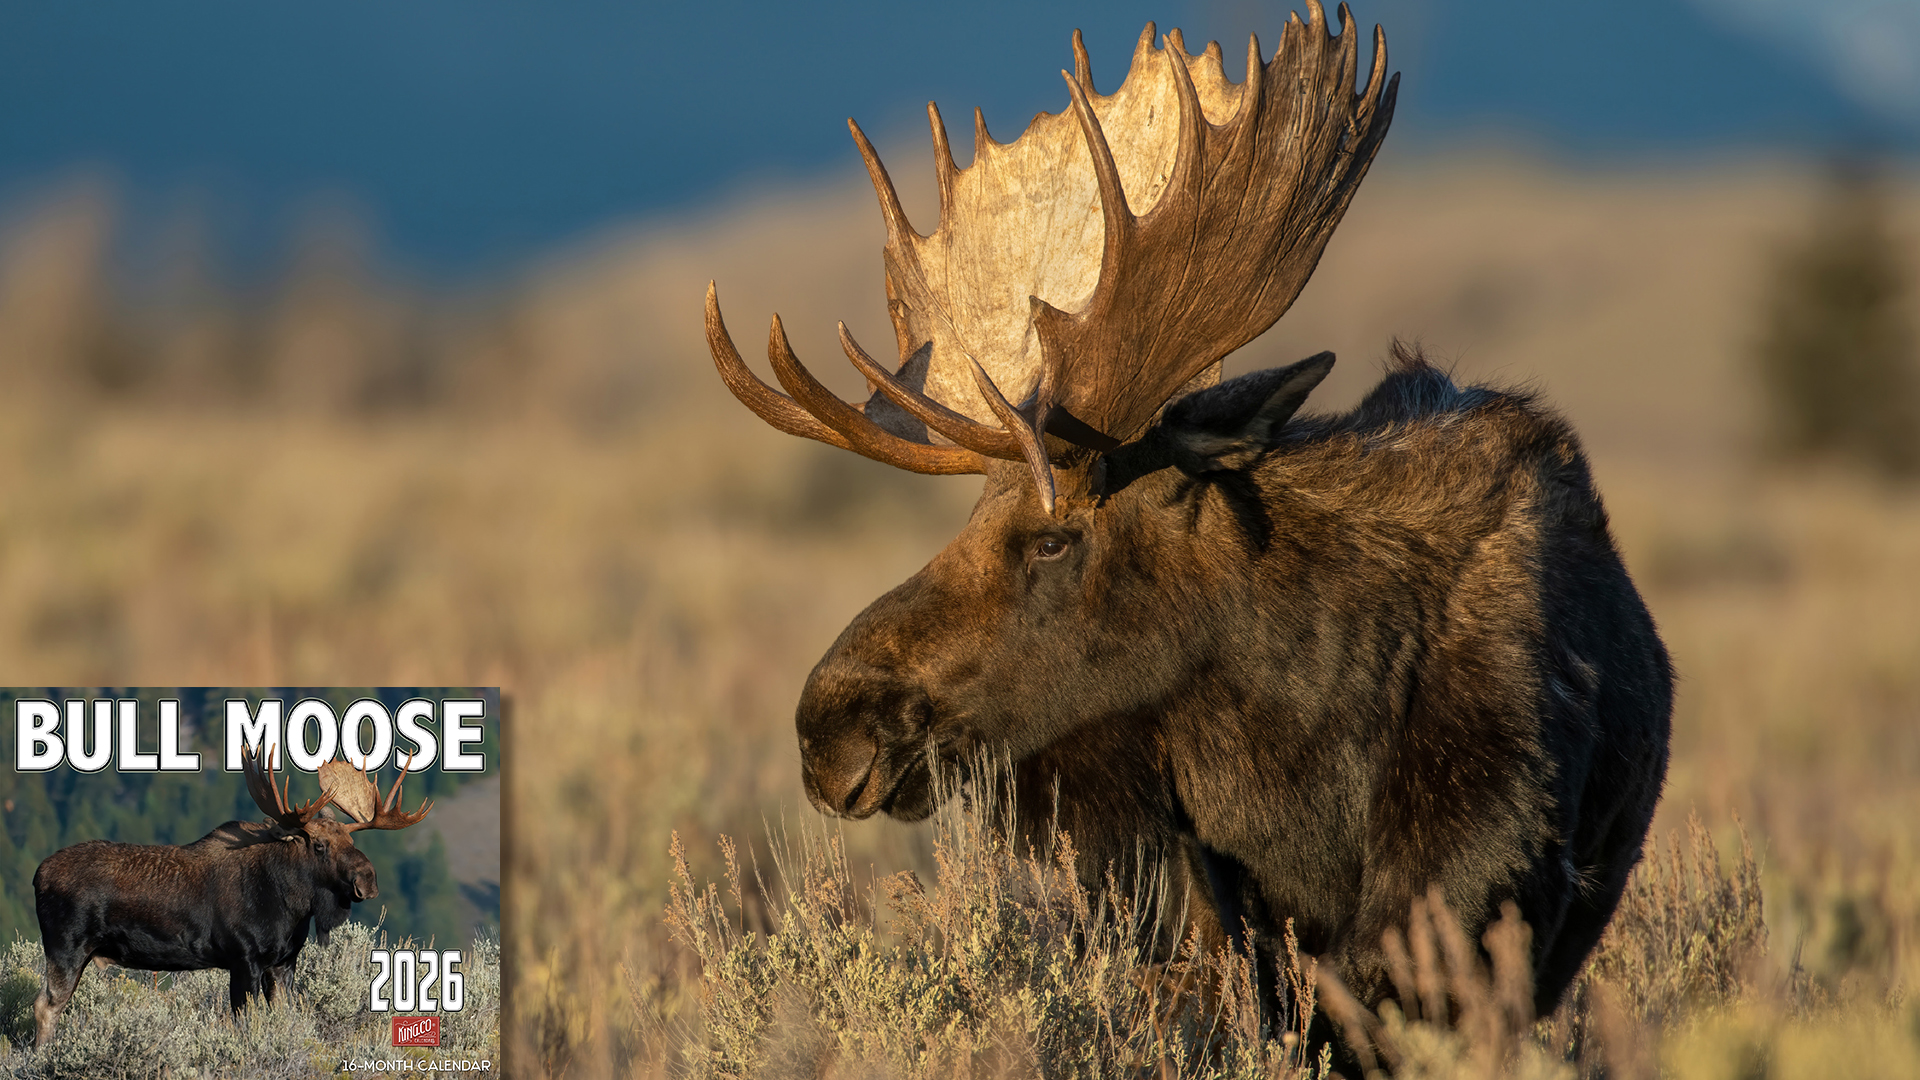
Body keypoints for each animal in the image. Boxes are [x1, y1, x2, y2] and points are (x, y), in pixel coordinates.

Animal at [30, 747, 432, 1046]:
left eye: (351, 840)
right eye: (319, 846)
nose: (367, 879)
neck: (290, 908)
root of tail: (37, 876)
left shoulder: (283, 962)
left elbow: (284, 1020)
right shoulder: (244, 958)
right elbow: (245, 1023)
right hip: (67, 948)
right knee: (45, 1006)